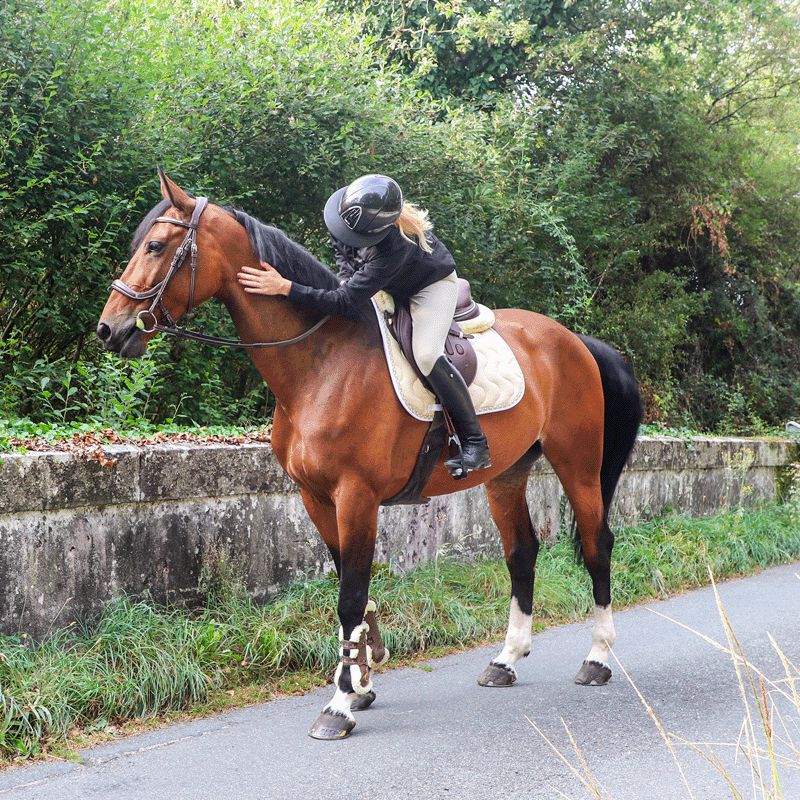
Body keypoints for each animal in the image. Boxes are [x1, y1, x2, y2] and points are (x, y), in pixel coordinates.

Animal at [98, 172, 641, 740]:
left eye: (156, 246)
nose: (109, 328)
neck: (321, 363)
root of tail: (573, 339)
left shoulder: (356, 496)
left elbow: (350, 595)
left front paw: (339, 704)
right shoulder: (316, 498)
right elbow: (350, 584)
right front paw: (361, 675)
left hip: (578, 463)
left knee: (596, 544)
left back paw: (597, 658)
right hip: (507, 474)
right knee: (522, 552)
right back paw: (506, 659)